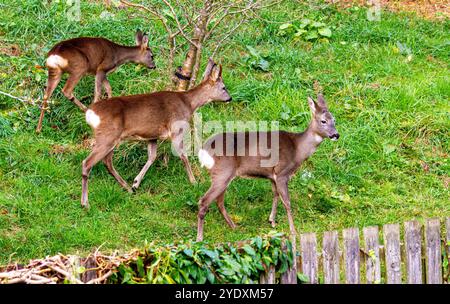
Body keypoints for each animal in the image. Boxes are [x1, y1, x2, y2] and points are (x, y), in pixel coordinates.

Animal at [79, 59, 232, 209]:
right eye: (224, 87)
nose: (229, 98)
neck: (188, 104)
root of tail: (90, 113)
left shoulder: (152, 136)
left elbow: (152, 157)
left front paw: (136, 183)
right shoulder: (176, 129)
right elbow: (183, 156)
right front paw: (194, 182)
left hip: (110, 138)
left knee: (107, 162)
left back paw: (127, 188)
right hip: (108, 136)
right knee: (87, 162)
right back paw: (85, 203)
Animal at [195, 93, 340, 247]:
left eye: (334, 120)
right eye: (323, 121)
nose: (336, 135)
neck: (297, 149)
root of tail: (203, 150)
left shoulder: (272, 175)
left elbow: (275, 194)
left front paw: (272, 221)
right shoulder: (282, 173)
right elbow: (287, 201)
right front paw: (293, 230)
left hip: (223, 175)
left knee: (219, 202)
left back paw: (234, 227)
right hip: (222, 173)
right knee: (204, 201)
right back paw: (200, 238)